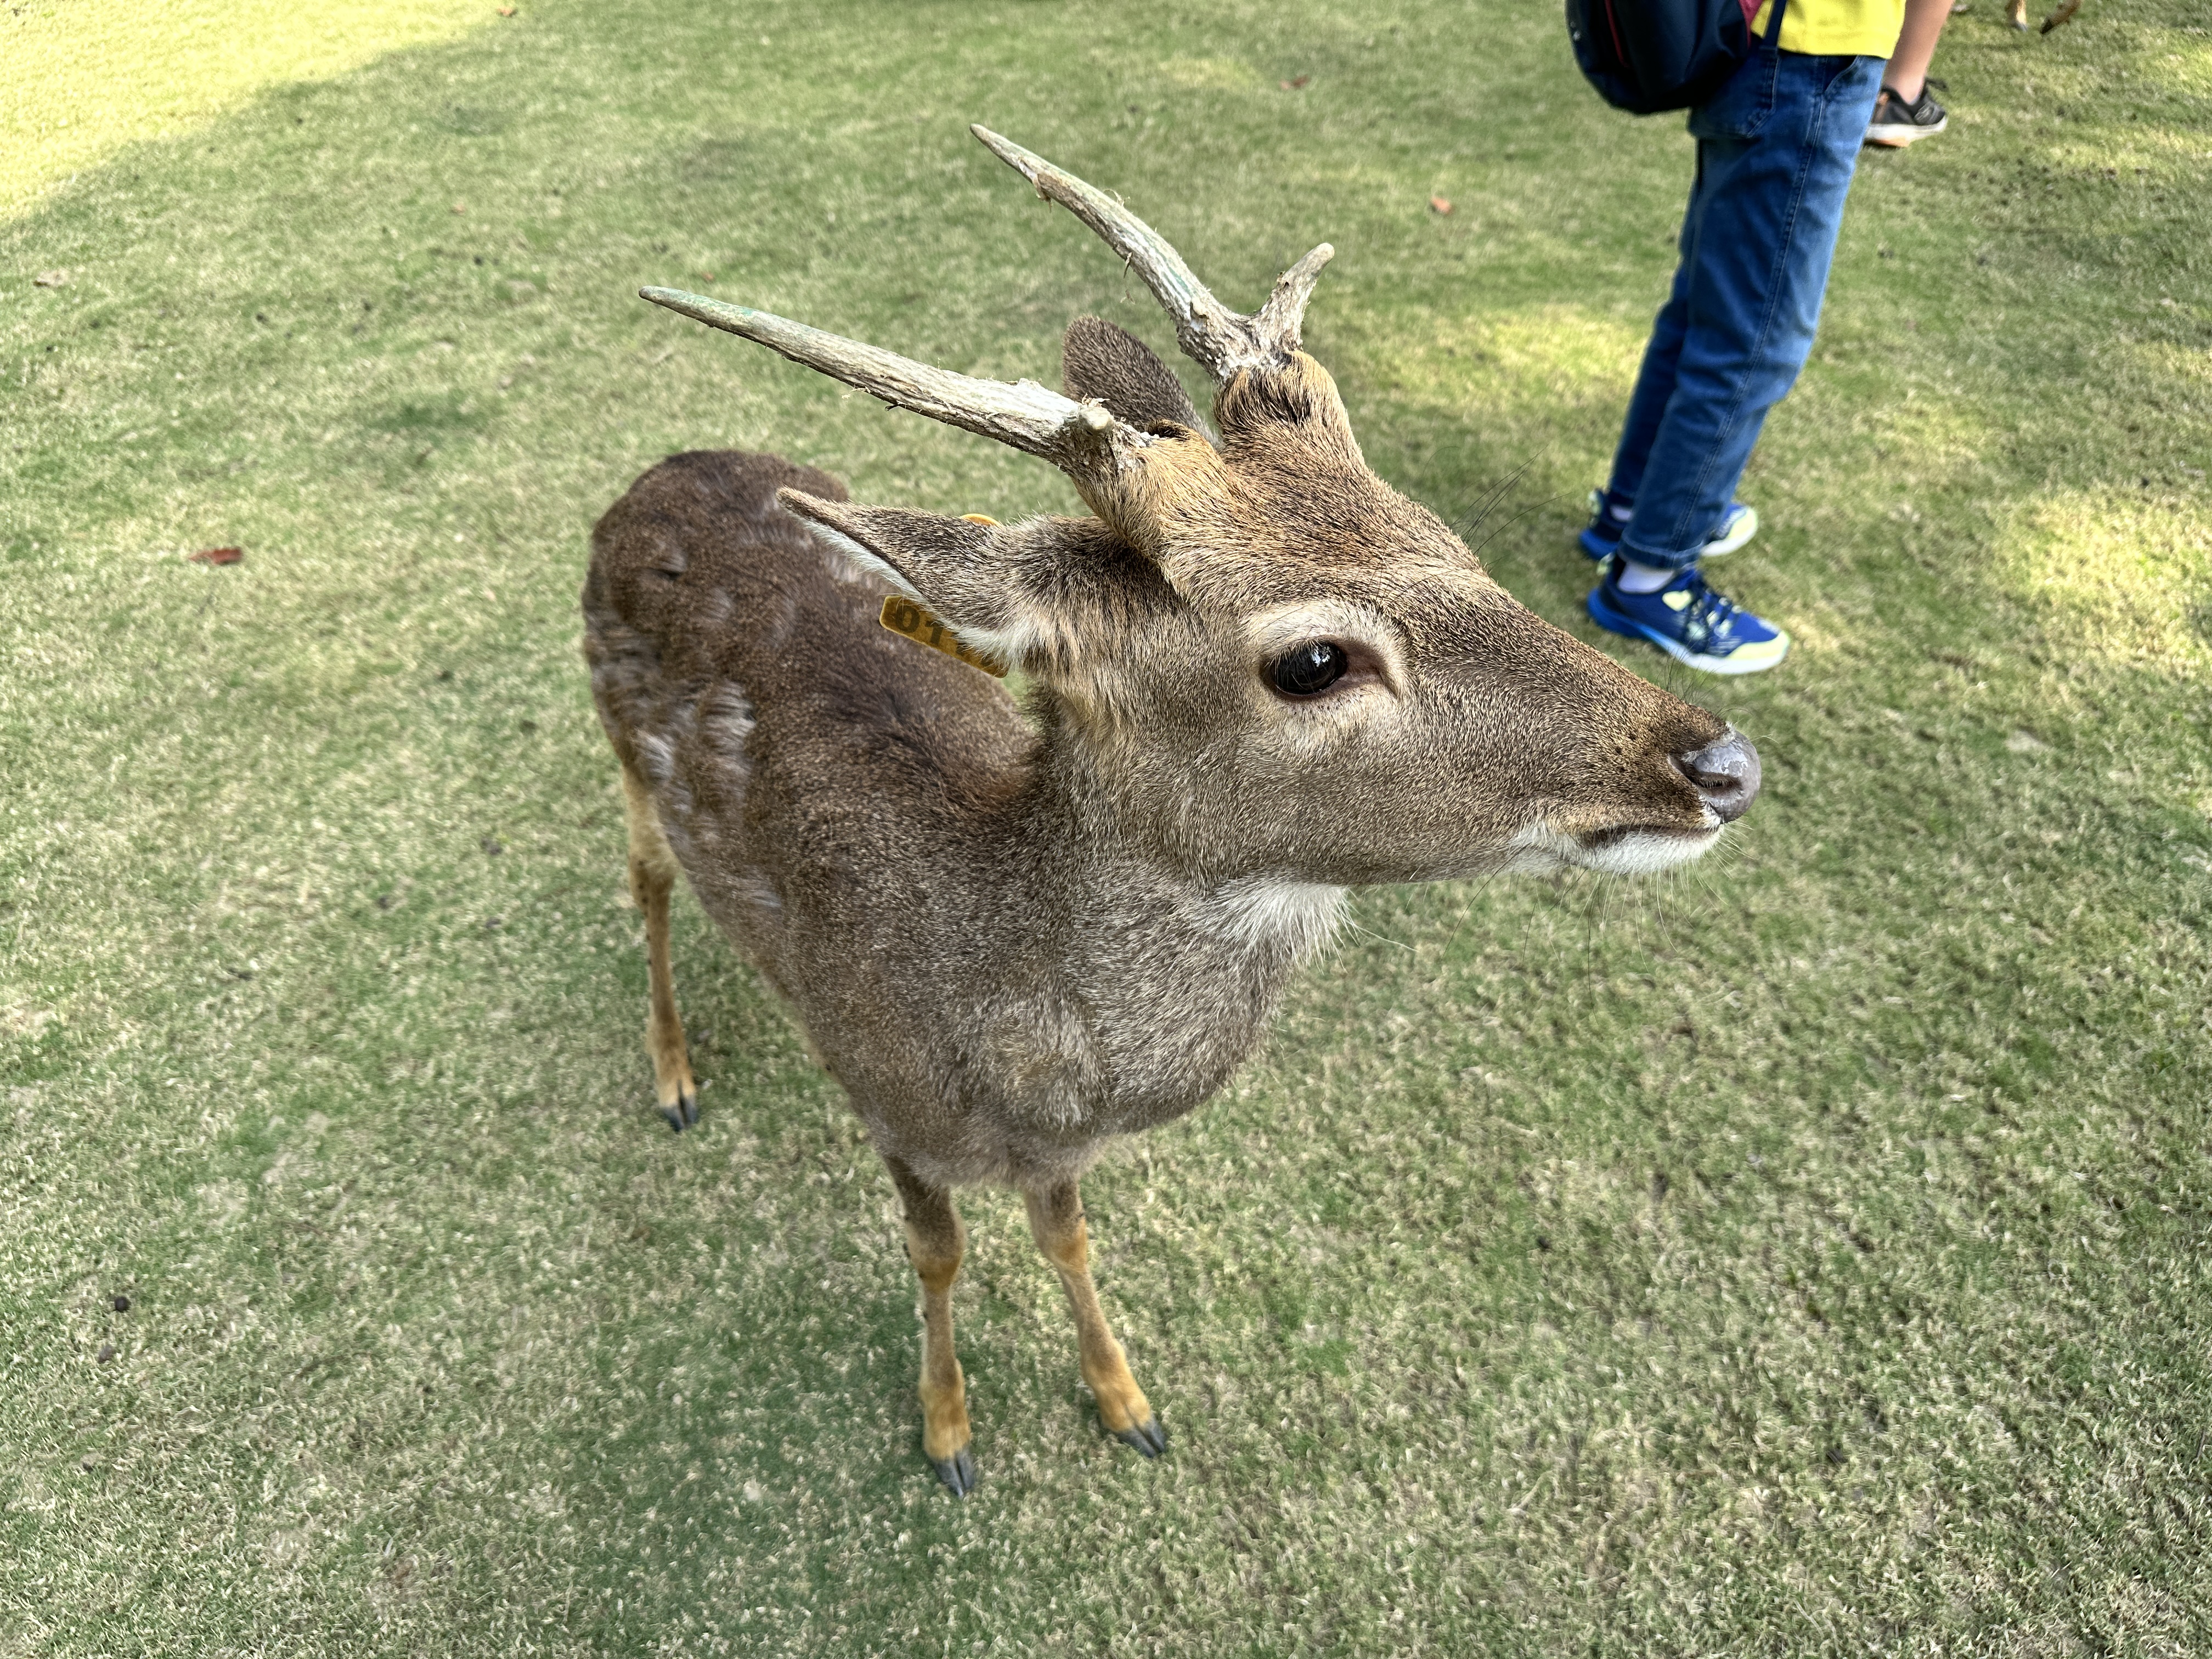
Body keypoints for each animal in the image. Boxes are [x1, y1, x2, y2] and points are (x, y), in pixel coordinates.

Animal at [582, 126, 1762, 1497]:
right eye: (1314, 660)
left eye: (1450, 543)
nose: (1721, 762)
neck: (1006, 1052)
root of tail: (660, 472)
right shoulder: (881, 1096)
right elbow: (939, 1254)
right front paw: (949, 1432)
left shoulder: (1055, 1159)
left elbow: (1068, 1240)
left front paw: (1124, 1398)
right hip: (618, 746)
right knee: (647, 879)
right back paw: (674, 1075)